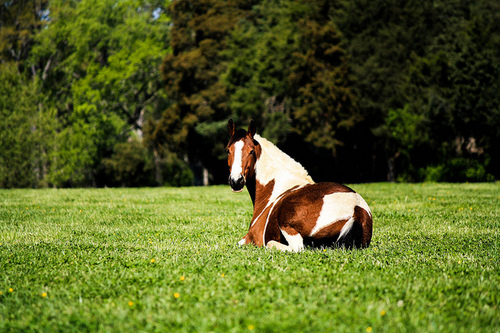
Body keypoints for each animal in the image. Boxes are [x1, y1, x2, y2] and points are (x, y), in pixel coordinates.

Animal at [226, 119, 372, 252]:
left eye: (251, 151)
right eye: (228, 151)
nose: (236, 181)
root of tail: (357, 210)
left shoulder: (249, 237)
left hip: (285, 223)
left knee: (293, 247)